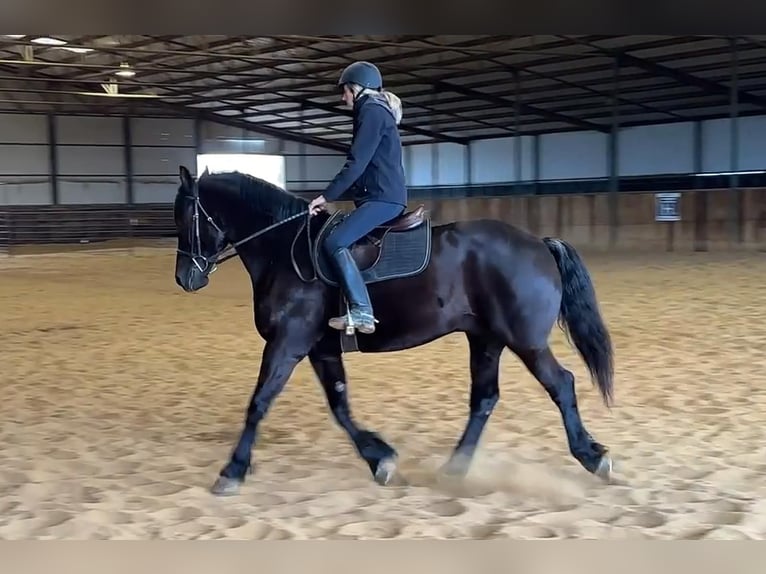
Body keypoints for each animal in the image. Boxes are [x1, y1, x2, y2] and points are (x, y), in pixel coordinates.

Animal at [174, 164, 616, 498]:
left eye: (185, 217)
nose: (184, 279)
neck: (283, 250)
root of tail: (539, 244)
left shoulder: (288, 343)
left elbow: (259, 403)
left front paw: (231, 472)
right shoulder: (320, 348)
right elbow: (340, 406)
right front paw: (380, 458)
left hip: (525, 340)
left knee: (561, 384)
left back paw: (594, 457)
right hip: (486, 339)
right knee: (485, 398)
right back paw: (454, 468)